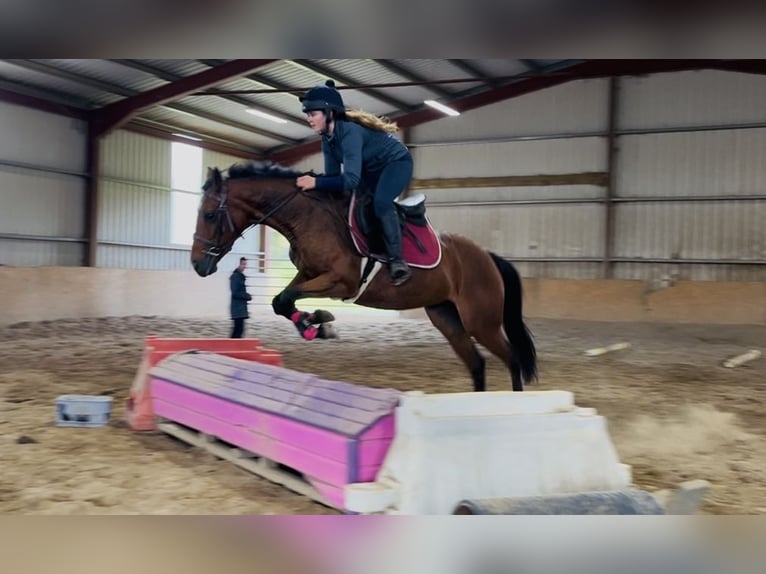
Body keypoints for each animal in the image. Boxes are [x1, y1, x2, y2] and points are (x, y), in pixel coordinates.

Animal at [190, 161, 537, 392]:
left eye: (209, 215)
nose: (196, 265)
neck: (308, 217)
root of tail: (488, 257)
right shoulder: (308, 274)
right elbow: (281, 300)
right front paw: (315, 324)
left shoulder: (341, 281)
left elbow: (287, 299)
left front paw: (318, 322)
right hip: (446, 317)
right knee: (477, 363)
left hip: (482, 321)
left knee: (512, 359)